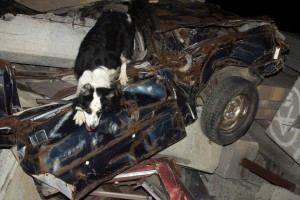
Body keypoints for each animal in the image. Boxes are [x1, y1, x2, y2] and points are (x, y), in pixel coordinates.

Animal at [72, 2, 141, 130]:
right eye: (88, 110)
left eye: (100, 112)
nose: (93, 128)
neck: (93, 71)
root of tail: (121, 14)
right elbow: (79, 94)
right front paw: (79, 114)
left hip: (128, 43)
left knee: (124, 60)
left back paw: (123, 77)